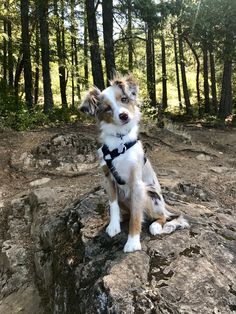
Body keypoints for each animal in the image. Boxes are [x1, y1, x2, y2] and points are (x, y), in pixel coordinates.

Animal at [80, 74, 189, 253]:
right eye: (107, 108)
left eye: (124, 99)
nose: (124, 116)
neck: (120, 141)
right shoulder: (108, 179)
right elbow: (113, 205)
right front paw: (113, 226)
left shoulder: (137, 184)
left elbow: (136, 217)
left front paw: (132, 242)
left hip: (151, 195)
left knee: (162, 216)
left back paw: (156, 226)